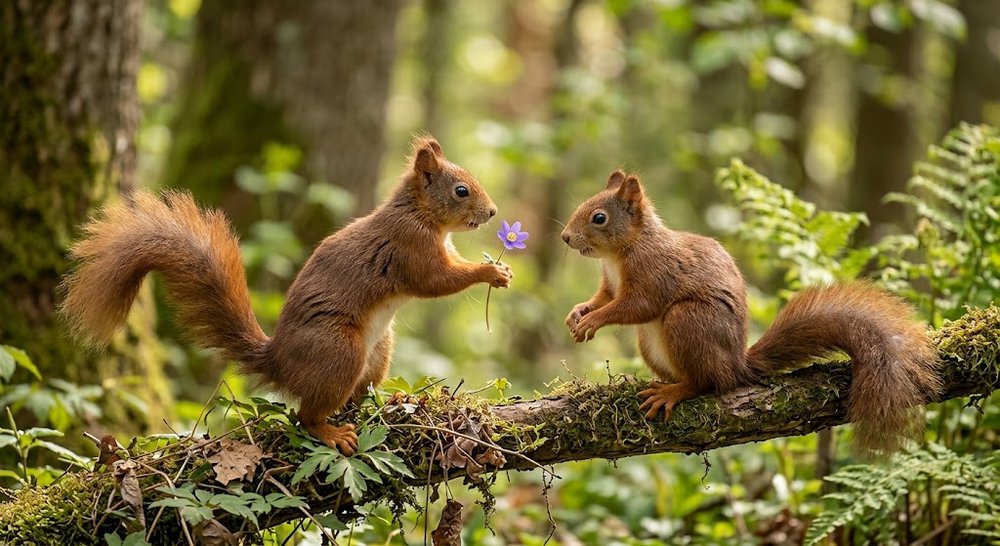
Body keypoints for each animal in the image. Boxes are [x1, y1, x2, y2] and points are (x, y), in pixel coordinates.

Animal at [60, 135, 512, 455]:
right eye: (460, 191)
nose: (493, 212)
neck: (419, 213)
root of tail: (278, 361)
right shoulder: (410, 250)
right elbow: (436, 282)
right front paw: (491, 271)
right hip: (339, 350)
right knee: (306, 415)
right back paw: (332, 433)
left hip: (379, 350)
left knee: (358, 395)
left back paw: (392, 397)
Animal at [560, 170, 941, 456]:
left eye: (599, 217)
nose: (565, 237)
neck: (620, 254)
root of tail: (737, 365)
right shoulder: (610, 283)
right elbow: (605, 297)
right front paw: (579, 312)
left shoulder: (655, 275)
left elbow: (636, 306)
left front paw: (593, 320)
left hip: (688, 320)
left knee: (705, 382)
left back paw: (673, 391)